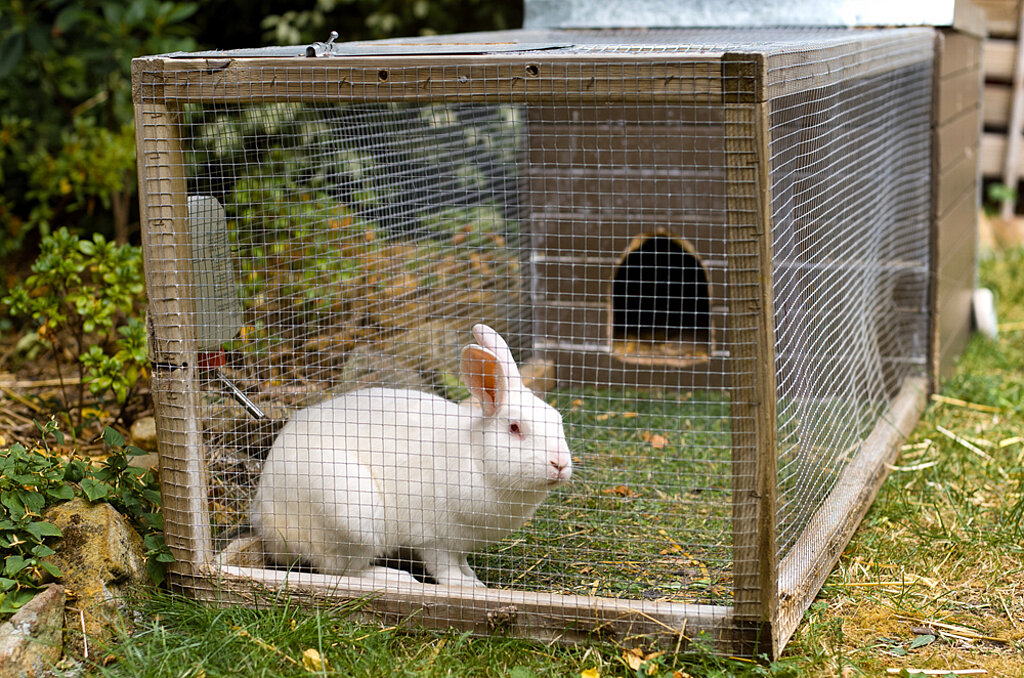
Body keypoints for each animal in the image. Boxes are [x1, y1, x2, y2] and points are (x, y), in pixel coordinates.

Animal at [249, 324, 573, 588]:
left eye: (558, 420)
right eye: (515, 428)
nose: (560, 464)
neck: (478, 458)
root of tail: (266, 521)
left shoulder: (461, 542)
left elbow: (462, 562)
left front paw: (473, 578)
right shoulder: (434, 537)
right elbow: (444, 568)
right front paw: (467, 586)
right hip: (352, 515)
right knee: (341, 569)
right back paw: (397, 577)